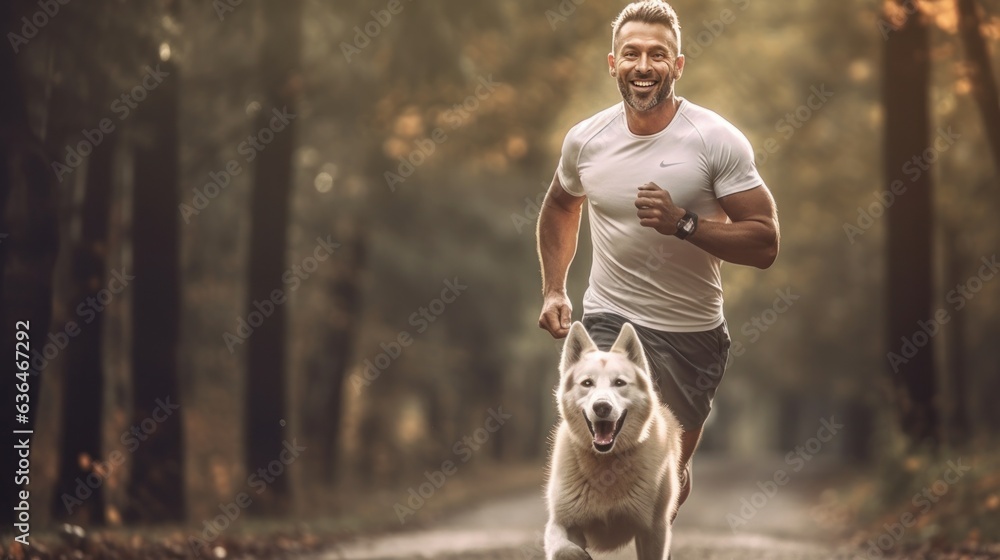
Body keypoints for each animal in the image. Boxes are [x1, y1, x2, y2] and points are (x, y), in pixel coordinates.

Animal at [544, 322, 684, 560]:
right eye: (587, 383)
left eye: (619, 383)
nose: (602, 407)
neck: (606, 463)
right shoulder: (561, 521)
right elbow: (562, 547)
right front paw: (577, 554)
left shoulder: (654, 530)